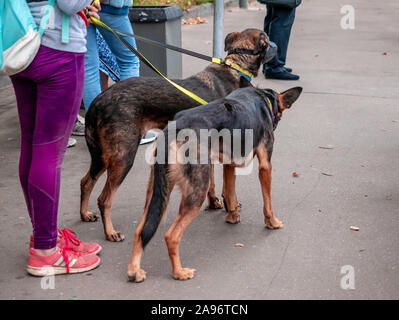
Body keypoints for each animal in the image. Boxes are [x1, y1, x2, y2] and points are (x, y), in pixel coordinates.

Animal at [79, 28, 276, 241]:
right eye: (267, 39)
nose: (276, 46)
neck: (236, 65)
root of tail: (97, 101)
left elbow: (212, 183)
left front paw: (215, 202)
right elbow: (223, 184)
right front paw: (229, 206)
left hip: (103, 155)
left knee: (86, 182)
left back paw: (85, 214)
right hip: (123, 156)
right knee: (104, 198)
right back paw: (110, 232)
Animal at [128, 85, 304, 282]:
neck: (264, 98)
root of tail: (173, 129)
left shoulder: (229, 164)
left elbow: (230, 193)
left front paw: (232, 216)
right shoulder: (265, 165)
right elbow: (268, 202)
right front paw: (272, 222)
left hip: (156, 193)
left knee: (141, 231)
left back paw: (134, 270)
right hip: (197, 192)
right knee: (171, 236)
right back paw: (179, 272)